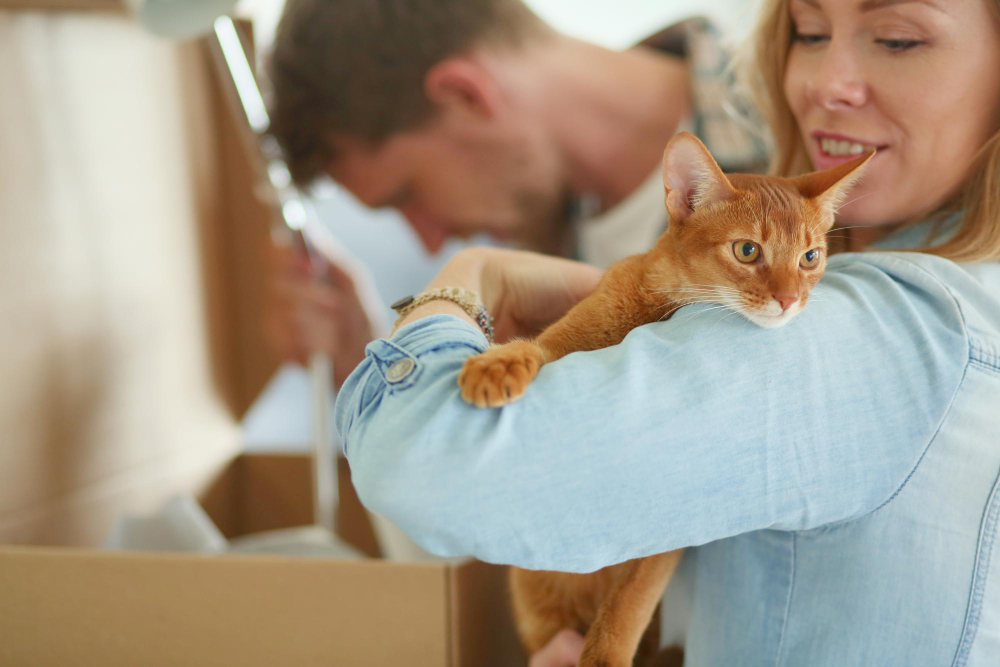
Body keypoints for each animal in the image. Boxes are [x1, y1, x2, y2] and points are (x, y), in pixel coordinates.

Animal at [458, 132, 872, 667]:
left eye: (810, 257)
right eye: (747, 250)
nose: (788, 301)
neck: (658, 307)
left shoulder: (667, 537)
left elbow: (628, 605)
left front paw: (605, 654)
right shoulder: (562, 341)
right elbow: (534, 346)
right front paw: (497, 363)